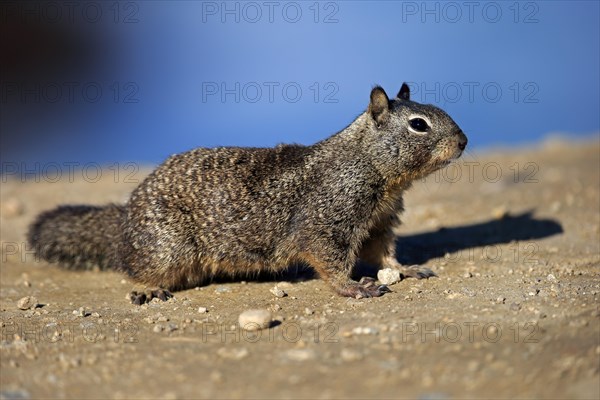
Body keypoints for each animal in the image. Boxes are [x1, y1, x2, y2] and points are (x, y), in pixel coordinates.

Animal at [29, 83, 468, 298]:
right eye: (418, 125)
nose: (463, 141)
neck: (368, 163)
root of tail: (123, 220)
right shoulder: (329, 219)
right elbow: (329, 259)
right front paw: (353, 287)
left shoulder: (379, 220)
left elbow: (384, 252)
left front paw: (406, 269)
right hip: (167, 246)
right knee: (136, 269)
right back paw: (149, 290)